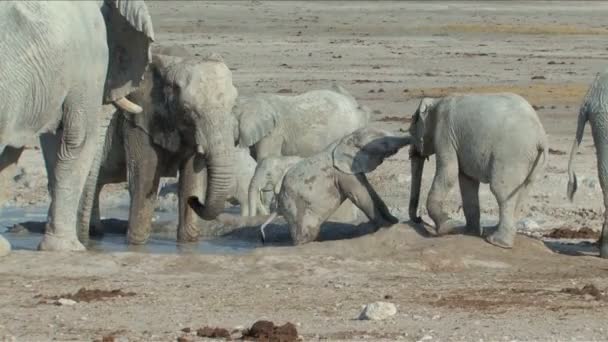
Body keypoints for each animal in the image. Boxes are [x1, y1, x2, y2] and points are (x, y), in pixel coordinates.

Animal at [84, 52, 236, 243]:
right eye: (187, 110)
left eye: (233, 106)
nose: (195, 201)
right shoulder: (139, 121)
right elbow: (144, 179)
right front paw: (136, 244)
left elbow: (191, 179)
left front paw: (188, 242)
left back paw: (94, 233)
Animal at [245, 127, 410, 244]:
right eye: (384, 143)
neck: (345, 139)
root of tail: (278, 207)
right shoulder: (342, 173)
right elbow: (362, 196)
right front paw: (385, 227)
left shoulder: (350, 168)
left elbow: (370, 191)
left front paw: (393, 221)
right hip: (295, 207)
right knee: (305, 233)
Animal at [408, 93, 548, 248]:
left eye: (411, 130)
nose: (419, 219)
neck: (436, 101)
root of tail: (540, 137)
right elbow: (467, 180)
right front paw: (468, 232)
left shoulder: (444, 132)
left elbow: (449, 172)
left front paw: (447, 227)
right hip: (533, 162)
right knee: (522, 193)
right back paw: (493, 233)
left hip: (511, 156)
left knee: (502, 192)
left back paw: (497, 242)